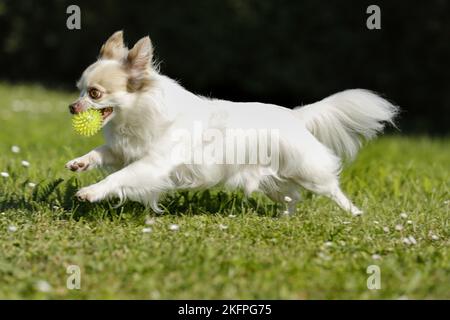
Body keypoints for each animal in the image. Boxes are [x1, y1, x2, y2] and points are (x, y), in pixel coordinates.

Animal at [66, 31, 398, 215]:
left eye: (94, 94)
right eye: (78, 89)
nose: (71, 106)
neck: (135, 115)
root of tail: (294, 115)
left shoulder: (152, 164)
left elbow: (119, 177)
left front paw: (91, 192)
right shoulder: (124, 151)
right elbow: (101, 152)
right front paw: (80, 162)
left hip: (308, 171)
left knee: (331, 190)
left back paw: (354, 214)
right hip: (272, 180)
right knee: (291, 197)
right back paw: (284, 219)